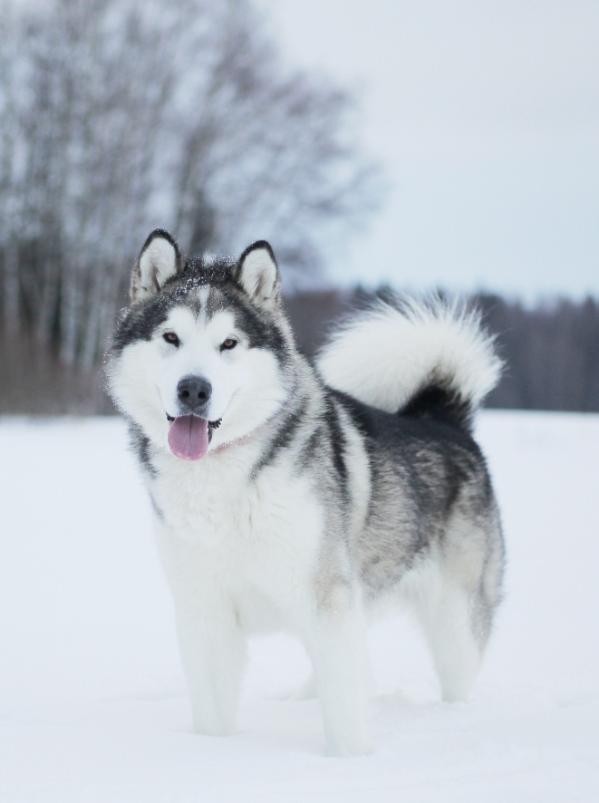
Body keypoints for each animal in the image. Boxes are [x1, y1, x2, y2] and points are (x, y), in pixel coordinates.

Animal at [108, 231, 506, 752]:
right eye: (170, 338)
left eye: (228, 343)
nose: (194, 389)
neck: (220, 480)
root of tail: (442, 418)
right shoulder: (205, 609)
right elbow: (214, 717)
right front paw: (214, 754)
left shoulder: (327, 602)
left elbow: (344, 712)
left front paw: (348, 759)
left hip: (452, 622)